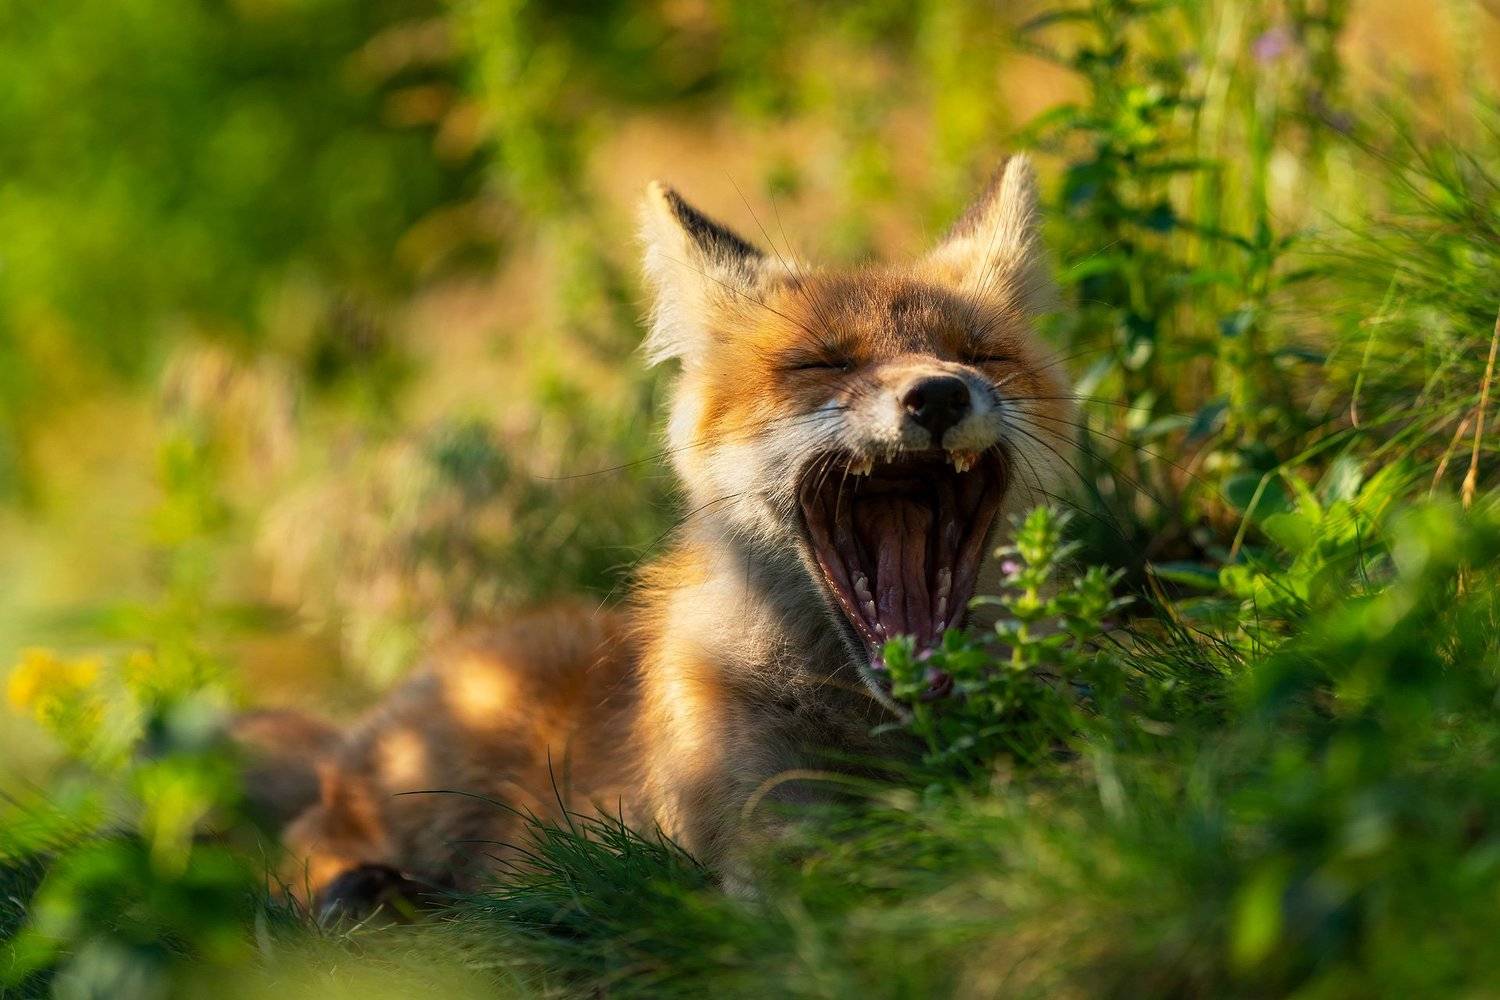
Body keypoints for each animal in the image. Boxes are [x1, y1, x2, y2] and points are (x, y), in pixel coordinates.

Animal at [236, 154, 1076, 917]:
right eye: (820, 363)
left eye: (979, 355)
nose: (939, 393)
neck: (884, 735)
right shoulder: (759, 841)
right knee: (299, 855)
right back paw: (367, 895)